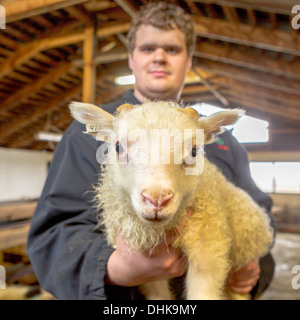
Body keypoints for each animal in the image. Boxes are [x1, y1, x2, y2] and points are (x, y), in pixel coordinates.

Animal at [69, 100, 274, 300]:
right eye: (118, 147)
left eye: (194, 151)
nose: (156, 200)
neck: (158, 231)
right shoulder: (146, 270)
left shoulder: (208, 245)